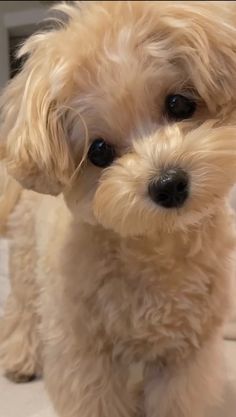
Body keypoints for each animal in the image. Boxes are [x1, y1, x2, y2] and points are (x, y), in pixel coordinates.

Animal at [0, 0, 236, 416]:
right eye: (98, 152)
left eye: (179, 103)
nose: (168, 184)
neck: (154, 246)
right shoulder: (87, 357)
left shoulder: (184, 358)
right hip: (26, 259)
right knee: (22, 307)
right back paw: (20, 357)